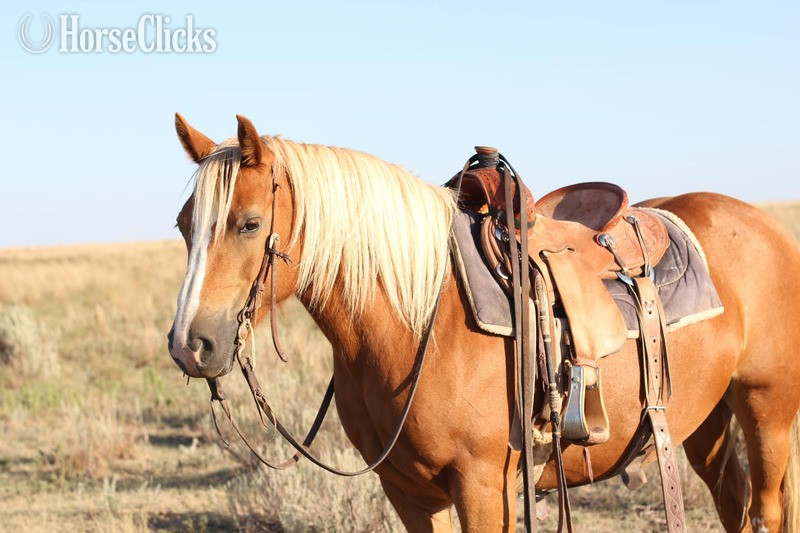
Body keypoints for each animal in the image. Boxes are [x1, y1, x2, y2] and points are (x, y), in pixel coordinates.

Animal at [167, 113, 800, 532]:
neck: (418, 322)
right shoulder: (408, 492)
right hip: (705, 417)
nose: (189, 346)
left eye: (250, 224)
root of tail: (767, 227)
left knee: (766, 508)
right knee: (735, 504)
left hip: (765, 408)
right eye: (182, 224)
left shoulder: (481, 486)